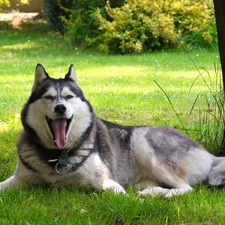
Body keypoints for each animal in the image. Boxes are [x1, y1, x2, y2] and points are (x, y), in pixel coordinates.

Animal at [0, 63, 225, 197]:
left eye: (69, 97)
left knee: (187, 188)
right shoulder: (20, 179)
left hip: (143, 141)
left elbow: (123, 197)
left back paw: (156, 194)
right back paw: (152, 190)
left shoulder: (106, 181)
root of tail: (209, 154)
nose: (60, 108)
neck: (58, 156)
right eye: (48, 97)